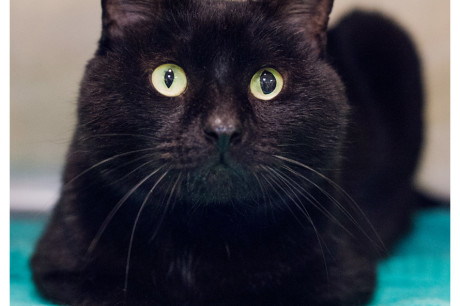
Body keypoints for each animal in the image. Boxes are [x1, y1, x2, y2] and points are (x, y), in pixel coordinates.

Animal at [29, 1, 424, 304]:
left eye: (268, 82)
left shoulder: (339, 278)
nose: (222, 129)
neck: (200, 234)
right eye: (168, 78)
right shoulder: (67, 270)